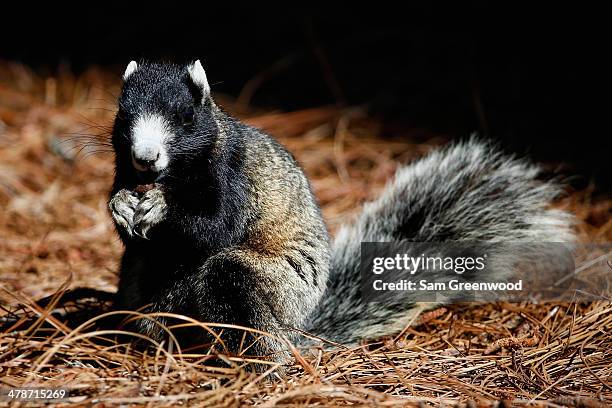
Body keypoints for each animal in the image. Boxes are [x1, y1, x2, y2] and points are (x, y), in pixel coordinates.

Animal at [109, 60, 572, 360]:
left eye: (186, 117)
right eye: (122, 114)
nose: (145, 158)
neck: (172, 177)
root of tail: (298, 334)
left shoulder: (233, 173)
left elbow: (216, 227)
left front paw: (159, 208)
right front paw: (121, 205)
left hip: (269, 285)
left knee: (236, 289)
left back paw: (254, 363)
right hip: (142, 289)